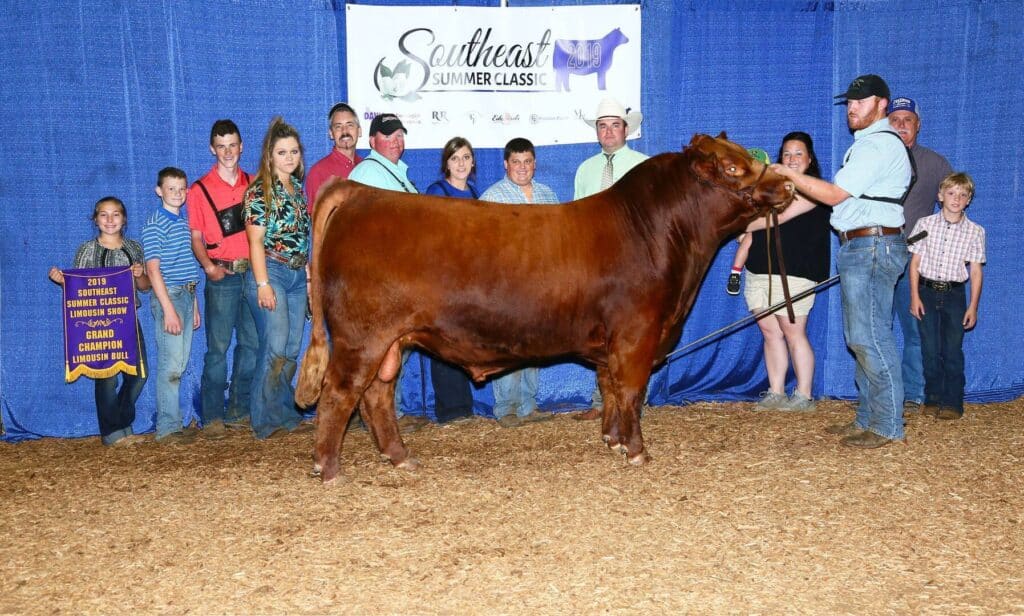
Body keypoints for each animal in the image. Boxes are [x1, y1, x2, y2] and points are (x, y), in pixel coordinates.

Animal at [296, 133, 795, 484]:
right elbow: (631, 391)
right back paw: (330, 469)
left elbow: (609, 388)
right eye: (733, 166)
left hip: (391, 341)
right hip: (362, 336)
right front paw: (637, 451)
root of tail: (362, 193)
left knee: (376, 395)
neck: (655, 232)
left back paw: (400, 458)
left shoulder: (613, 342)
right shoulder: (637, 333)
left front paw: (612, 441)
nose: (788, 182)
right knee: (340, 393)